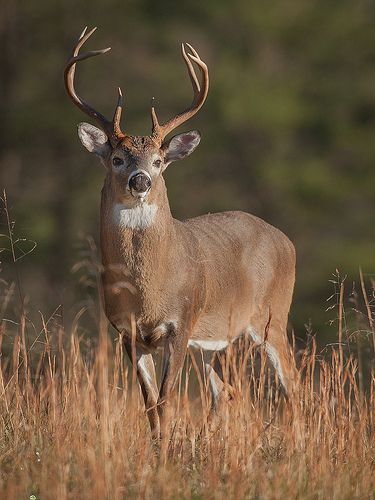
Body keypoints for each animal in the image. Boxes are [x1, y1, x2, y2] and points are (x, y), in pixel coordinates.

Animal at [65, 28, 300, 442]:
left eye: (159, 161)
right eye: (116, 159)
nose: (140, 180)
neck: (148, 292)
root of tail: (286, 241)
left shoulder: (181, 323)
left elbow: (165, 400)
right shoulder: (127, 332)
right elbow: (149, 405)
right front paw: (159, 449)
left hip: (272, 316)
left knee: (293, 383)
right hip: (216, 339)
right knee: (227, 393)